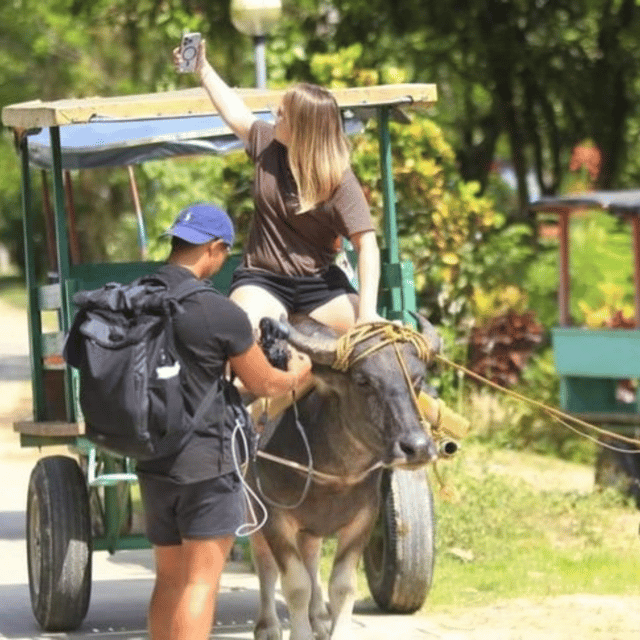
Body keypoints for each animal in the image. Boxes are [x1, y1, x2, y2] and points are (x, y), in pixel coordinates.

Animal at [249, 318, 440, 640]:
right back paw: (268, 626)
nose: (417, 447)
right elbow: (295, 584)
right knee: (265, 563)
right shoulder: (275, 517)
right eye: (363, 381)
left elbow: (342, 586)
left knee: (311, 557)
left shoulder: (363, 519)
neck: (335, 476)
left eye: (417, 380)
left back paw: (319, 618)